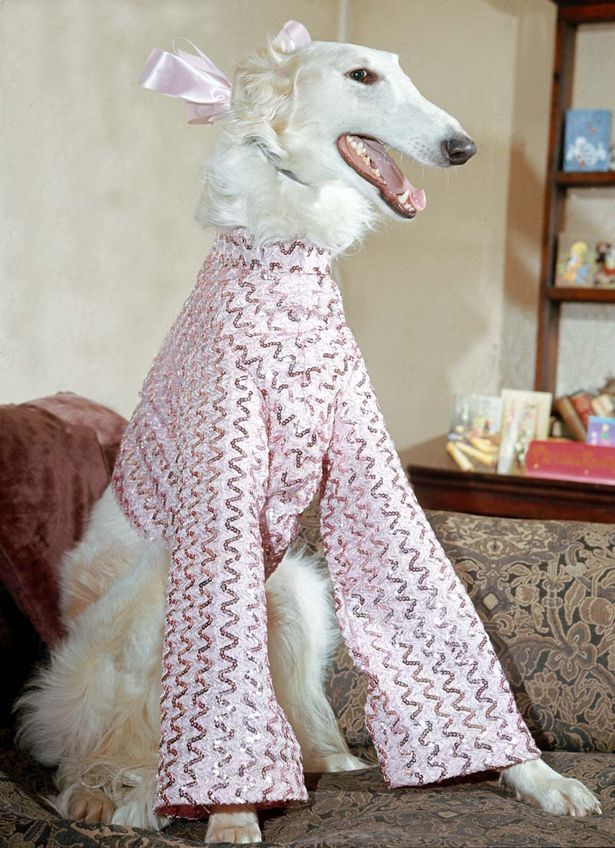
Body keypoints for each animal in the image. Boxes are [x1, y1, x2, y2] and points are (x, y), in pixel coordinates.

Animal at [14, 21, 600, 848]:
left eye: (400, 74)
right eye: (361, 76)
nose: (461, 148)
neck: (286, 270)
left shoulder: (367, 461)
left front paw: (536, 777)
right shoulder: (220, 485)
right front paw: (230, 818)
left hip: (292, 588)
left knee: (303, 717)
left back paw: (326, 763)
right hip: (154, 594)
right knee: (99, 749)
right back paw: (118, 793)